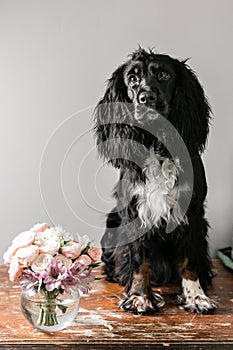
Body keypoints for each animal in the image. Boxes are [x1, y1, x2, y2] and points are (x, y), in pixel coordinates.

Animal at [93, 48, 218, 314]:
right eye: (132, 78)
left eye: (164, 74)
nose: (146, 97)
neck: (159, 146)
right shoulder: (133, 210)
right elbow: (139, 260)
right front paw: (139, 296)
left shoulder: (191, 212)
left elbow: (189, 259)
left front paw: (196, 297)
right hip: (112, 224)